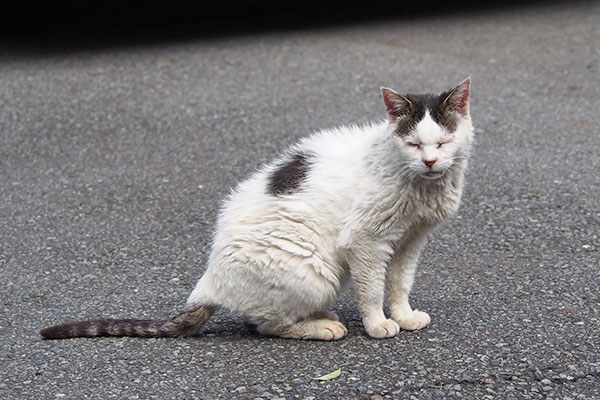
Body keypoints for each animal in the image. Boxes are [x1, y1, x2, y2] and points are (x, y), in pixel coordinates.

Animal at [41, 77, 474, 340]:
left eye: (444, 141)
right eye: (414, 144)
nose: (430, 162)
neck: (421, 186)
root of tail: (208, 282)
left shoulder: (410, 239)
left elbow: (399, 283)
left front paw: (403, 315)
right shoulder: (366, 242)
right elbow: (371, 290)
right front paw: (378, 324)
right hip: (314, 270)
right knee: (267, 324)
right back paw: (320, 326)